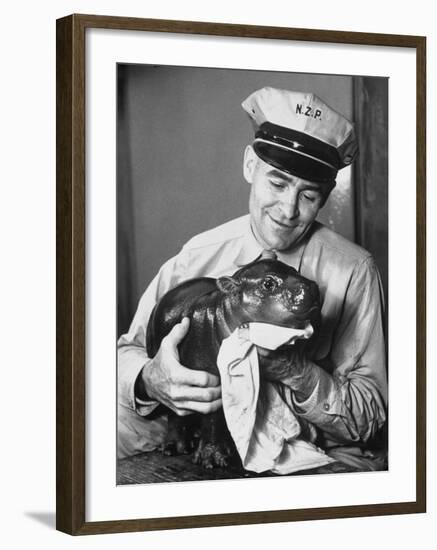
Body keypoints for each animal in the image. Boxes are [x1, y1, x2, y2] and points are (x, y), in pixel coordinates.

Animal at [146, 258, 320, 470]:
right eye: (268, 283)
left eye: (294, 269)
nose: (311, 287)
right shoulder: (209, 378)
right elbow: (212, 416)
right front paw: (212, 460)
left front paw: (223, 452)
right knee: (175, 412)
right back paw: (175, 448)